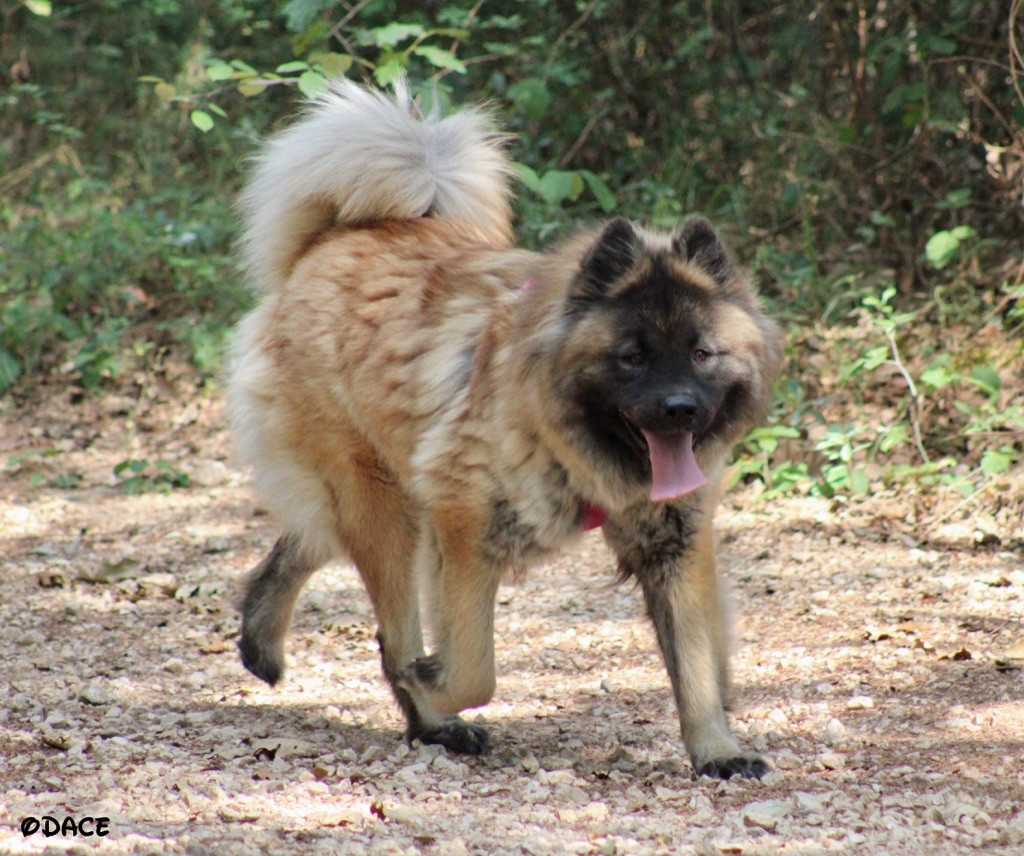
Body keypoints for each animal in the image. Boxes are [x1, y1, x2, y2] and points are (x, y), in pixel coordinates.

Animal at [228, 76, 778, 778]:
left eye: (702, 353)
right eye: (632, 357)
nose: (680, 408)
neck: (562, 436)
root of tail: (334, 239)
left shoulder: (674, 545)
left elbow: (697, 664)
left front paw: (717, 752)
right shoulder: (466, 529)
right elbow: (472, 669)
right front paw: (433, 684)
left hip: (387, 497)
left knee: (305, 539)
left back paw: (261, 642)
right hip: (386, 506)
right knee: (389, 626)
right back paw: (434, 723)